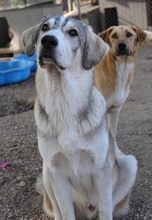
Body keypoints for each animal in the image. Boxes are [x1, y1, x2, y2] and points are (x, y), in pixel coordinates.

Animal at [21, 16, 138, 219]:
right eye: (45, 27)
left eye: (73, 32)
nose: (48, 40)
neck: (63, 100)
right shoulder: (56, 172)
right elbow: (65, 212)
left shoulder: (101, 170)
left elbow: (106, 210)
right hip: (46, 172)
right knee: (58, 212)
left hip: (130, 165)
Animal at [94, 25, 147, 153]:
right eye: (114, 36)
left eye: (129, 34)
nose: (121, 45)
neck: (121, 68)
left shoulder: (115, 111)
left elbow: (112, 136)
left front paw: (116, 154)